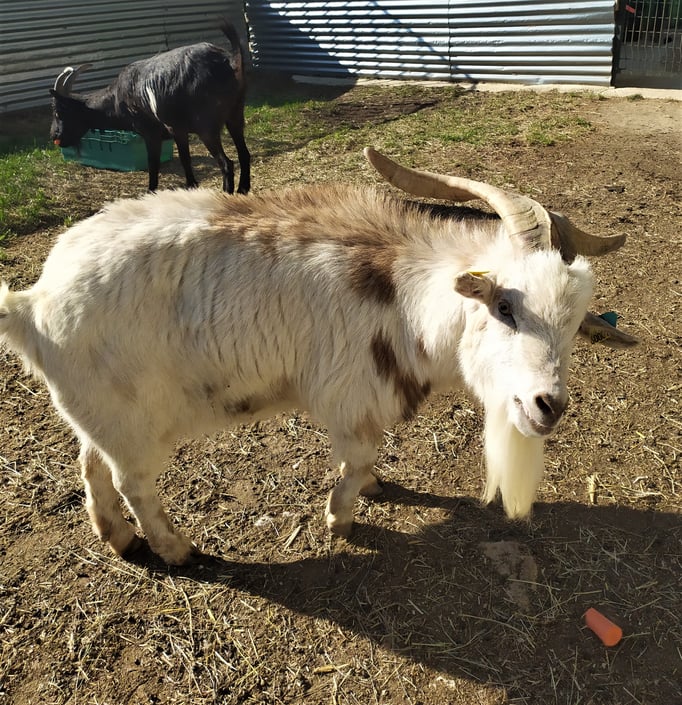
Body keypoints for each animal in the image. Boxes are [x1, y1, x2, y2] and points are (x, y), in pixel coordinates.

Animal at [0, 148, 638, 566]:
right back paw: (176, 549)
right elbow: (355, 462)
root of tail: (33, 303)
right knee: (132, 481)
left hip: (103, 411)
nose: (548, 405)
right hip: (136, 424)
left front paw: (374, 489)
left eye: (576, 323)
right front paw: (341, 517)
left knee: (90, 465)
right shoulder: (350, 401)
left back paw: (118, 540)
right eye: (505, 305)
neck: (407, 296)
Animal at [50, 20, 250, 194]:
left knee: (226, 163)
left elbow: (154, 164)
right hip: (235, 115)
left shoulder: (152, 132)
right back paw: (242, 190)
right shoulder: (177, 131)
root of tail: (229, 61)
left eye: (58, 113)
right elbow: (184, 160)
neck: (117, 98)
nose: (54, 136)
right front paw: (190, 186)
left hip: (206, 126)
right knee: (244, 154)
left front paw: (152, 191)